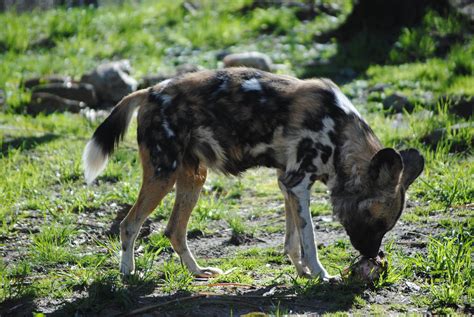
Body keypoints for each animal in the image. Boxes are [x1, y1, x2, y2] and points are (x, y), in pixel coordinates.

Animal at [83, 66, 424, 278]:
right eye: (375, 221)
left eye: (386, 226)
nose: (372, 254)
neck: (340, 134)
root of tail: (149, 91)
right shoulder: (297, 183)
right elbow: (310, 240)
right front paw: (321, 274)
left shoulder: (288, 184)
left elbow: (292, 240)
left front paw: (302, 272)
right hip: (162, 174)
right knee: (129, 225)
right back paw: (128, 274)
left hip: (193, 179)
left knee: (174, 230)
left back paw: (198, 272)